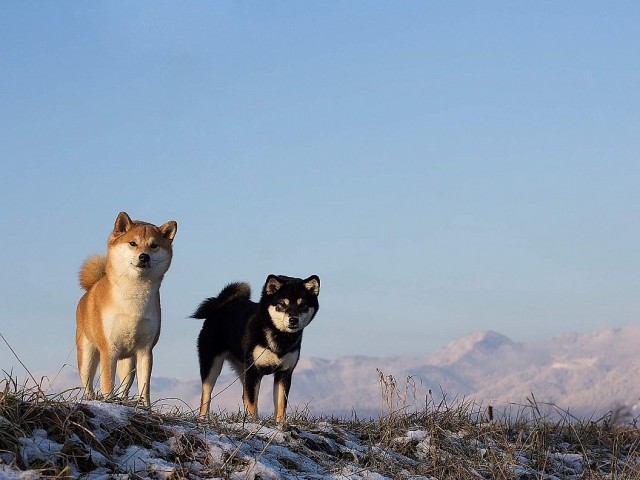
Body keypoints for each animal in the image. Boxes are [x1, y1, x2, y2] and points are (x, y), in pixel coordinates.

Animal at [75, 211, 177, 406]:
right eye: (133, 243)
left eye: (154, 245)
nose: (144, 256)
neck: (134, 299)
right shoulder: (109, 349)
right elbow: (107, 383)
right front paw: (107, 402)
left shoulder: (145, 350)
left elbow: (145, 386)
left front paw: (145, 407)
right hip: (87, 356)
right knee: (88, 384)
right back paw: (91, 399)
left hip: (128, 362)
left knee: (125, 386)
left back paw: (123, 400)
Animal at [193, 274, 320, 422]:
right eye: (282, 304)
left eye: (303, 305)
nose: (293, 320)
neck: (280, 337)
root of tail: (222, 305)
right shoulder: (253, 371)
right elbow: (252, 403)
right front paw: (253, 423)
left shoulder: (284, 373)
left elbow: (280, 405)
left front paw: (280, 424)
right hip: (212, 366)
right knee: (206, 396)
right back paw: (203, 418)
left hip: (243, 369)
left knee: (244, 396)